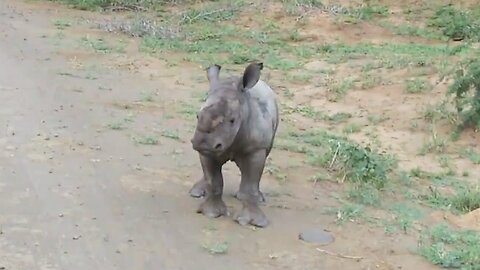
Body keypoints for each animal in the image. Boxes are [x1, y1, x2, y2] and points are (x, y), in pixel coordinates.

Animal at [188, 61, 278, 228]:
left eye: (232, 120)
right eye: (197, 116)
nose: (202, 143)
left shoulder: (256, 149)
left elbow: (250, 186)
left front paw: (253, 222)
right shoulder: (209, 149)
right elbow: (214, 182)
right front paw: (211, 213)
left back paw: (254, 198)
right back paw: (197, 192)